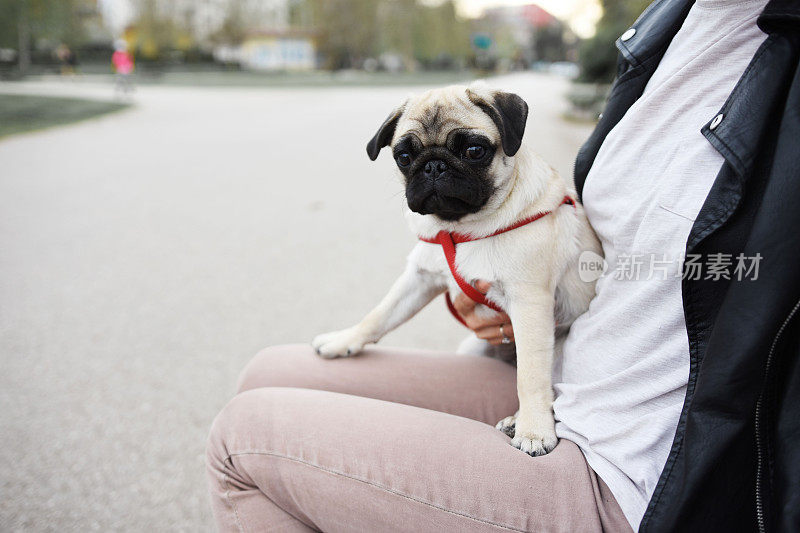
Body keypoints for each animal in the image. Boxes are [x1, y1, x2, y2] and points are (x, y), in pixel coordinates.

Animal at [312, 84, 600, 458]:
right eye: (404, 157)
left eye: (474, 151)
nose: (434, 166)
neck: (461, 229)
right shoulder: (420, 277)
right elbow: (379, 315)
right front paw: (343, 341)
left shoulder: (530, 303)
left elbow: (531, 377)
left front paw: (535, 431)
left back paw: (518, 420)